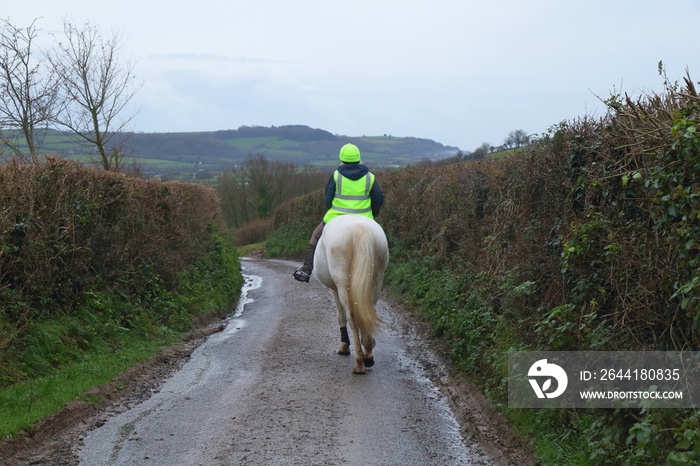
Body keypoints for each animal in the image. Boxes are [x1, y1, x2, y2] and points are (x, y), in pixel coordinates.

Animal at [314, 216, 392, 374]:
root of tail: (360, 228)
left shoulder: (334, 289)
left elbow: (341, 316)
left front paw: (344, 346)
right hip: (376, 280)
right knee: (367, 312)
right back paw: (368, 354)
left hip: (343, 284)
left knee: (352, 317)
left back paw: (359, 363)